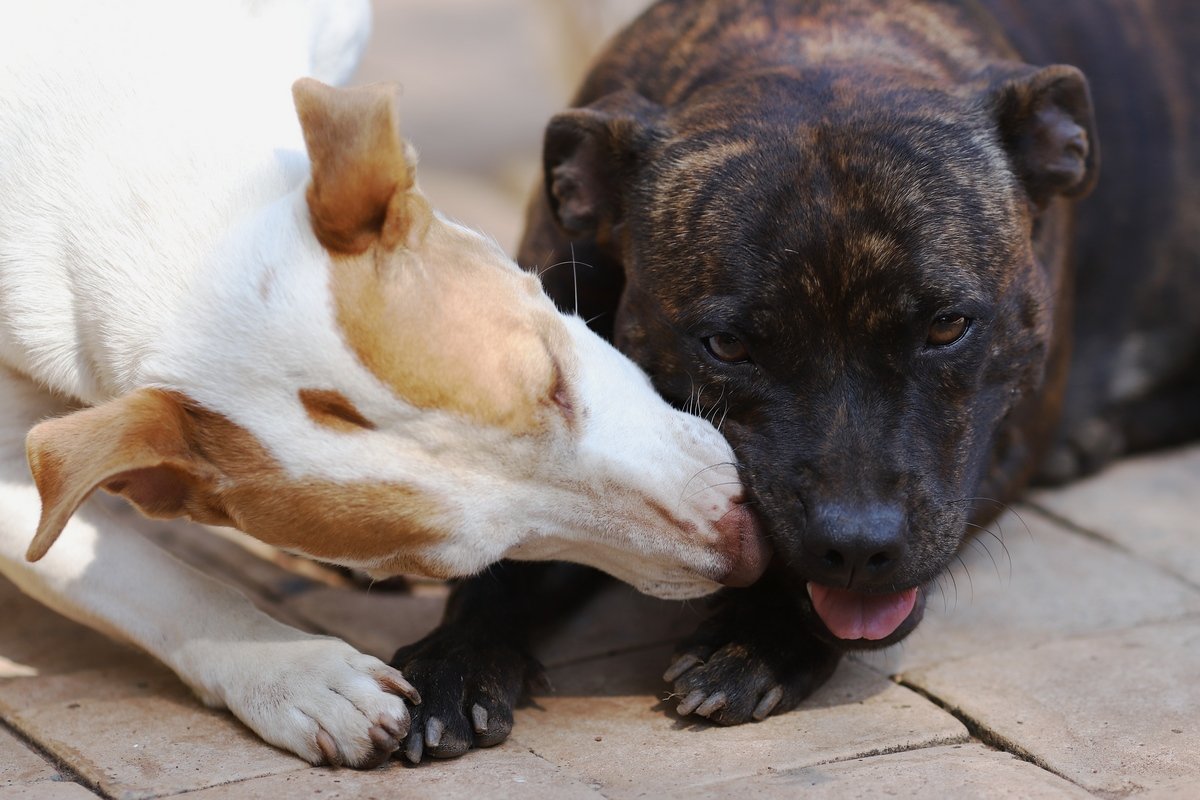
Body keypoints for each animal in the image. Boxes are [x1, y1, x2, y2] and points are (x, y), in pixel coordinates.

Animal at [388, 0, 1195, 762]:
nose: (858, 546)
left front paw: (762, 636)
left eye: (947, 326)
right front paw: (456, 658)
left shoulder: (1005, 442)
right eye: (727, 346)